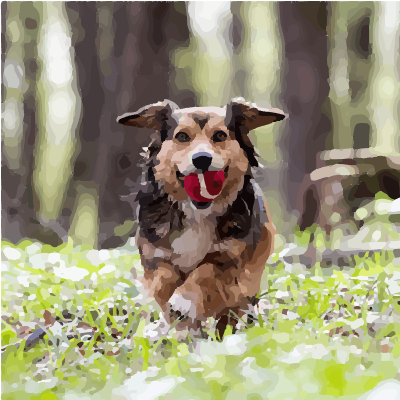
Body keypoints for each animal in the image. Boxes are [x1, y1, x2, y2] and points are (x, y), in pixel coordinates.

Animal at [116, 98, 288, 340]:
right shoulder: (154, 255)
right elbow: (164, 278)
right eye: (182, 137)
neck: (197, 214)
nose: (202, 159)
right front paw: (171, 306)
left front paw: (184, 299)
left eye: (220, 135)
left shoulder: (230, 261)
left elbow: (205, 271)